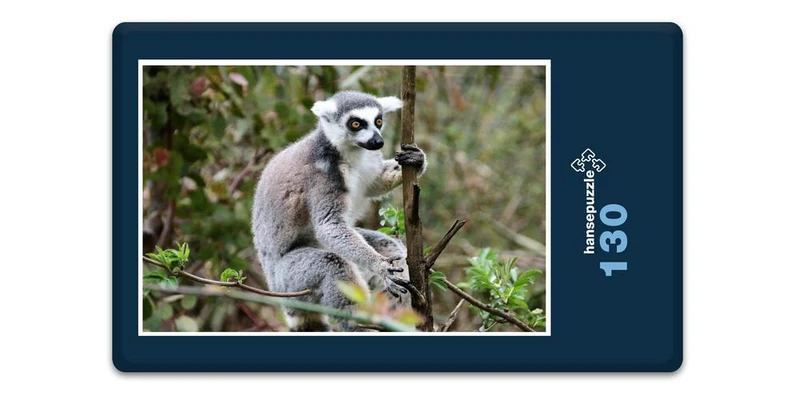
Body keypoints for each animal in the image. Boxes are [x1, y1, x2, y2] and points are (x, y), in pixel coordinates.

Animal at [251, 91, 427, 331]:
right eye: (356, 123)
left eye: (378, 121)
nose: (378, 141)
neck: (348, 152)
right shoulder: (322, 176)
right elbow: (330, 225)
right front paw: (380, 266)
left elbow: (375, 184)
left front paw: (416, 160)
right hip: (289, 280)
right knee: (333, 265)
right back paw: (360, 326)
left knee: (391, 247)